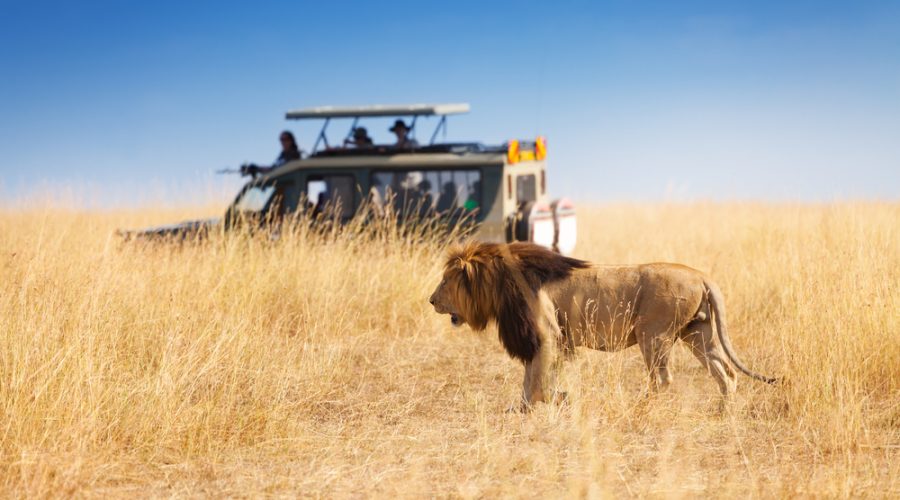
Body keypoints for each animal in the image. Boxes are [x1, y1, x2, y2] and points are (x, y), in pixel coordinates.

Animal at [429, 241, 776, 408]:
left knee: (663, 379)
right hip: (697, 333)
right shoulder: (543, 340)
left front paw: (558, 400)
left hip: (654, 334)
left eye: (445, 281)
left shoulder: (547, 335)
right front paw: (524, 408)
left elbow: (538, 381)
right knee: (726, 373)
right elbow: (531, 380)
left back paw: (639, 407)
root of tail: (701, 275)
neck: (500, 284)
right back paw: (723, 413)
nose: (431, 301)